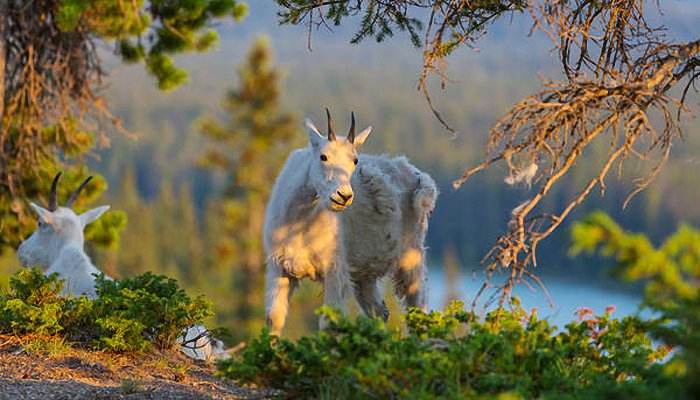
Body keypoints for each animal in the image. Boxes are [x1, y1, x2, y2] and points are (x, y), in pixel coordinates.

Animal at [262, 109, 438, 334]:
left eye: (355, 160)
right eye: (323, 156)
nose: (343, 196)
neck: (299, 221)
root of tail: (420, 177)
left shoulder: (334, 269)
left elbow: (328, 323)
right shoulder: (279, 266)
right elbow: (274, 318)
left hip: (412, 255)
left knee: (418, 310)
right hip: (364, 274)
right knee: (380, 312)